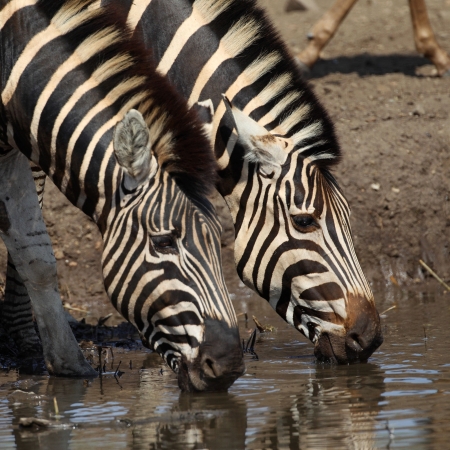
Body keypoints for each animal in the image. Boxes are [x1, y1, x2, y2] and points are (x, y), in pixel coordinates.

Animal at [0, 0, 246, 390]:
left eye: (218, 240)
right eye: (163, 243)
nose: (228, 367)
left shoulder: (9, 156)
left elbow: (36, 256)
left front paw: (69, 364)